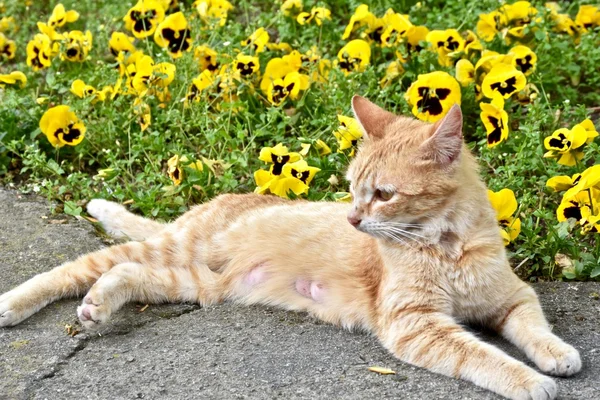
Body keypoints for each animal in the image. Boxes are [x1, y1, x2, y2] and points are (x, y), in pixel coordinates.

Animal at [0, 97, 580, 400]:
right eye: (352, 188)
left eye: (383, 194)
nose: (352, 219)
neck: (449, 246)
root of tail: (216, 203)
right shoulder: (416, 324)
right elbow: (481, 354)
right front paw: (528, 380)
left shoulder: (511, 298)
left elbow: (533, 327)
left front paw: (555, 354)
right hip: (171, 252)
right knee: (76, 269)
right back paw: (14, 305)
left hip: (195, 281)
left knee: (122, 275)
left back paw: (99, 306)